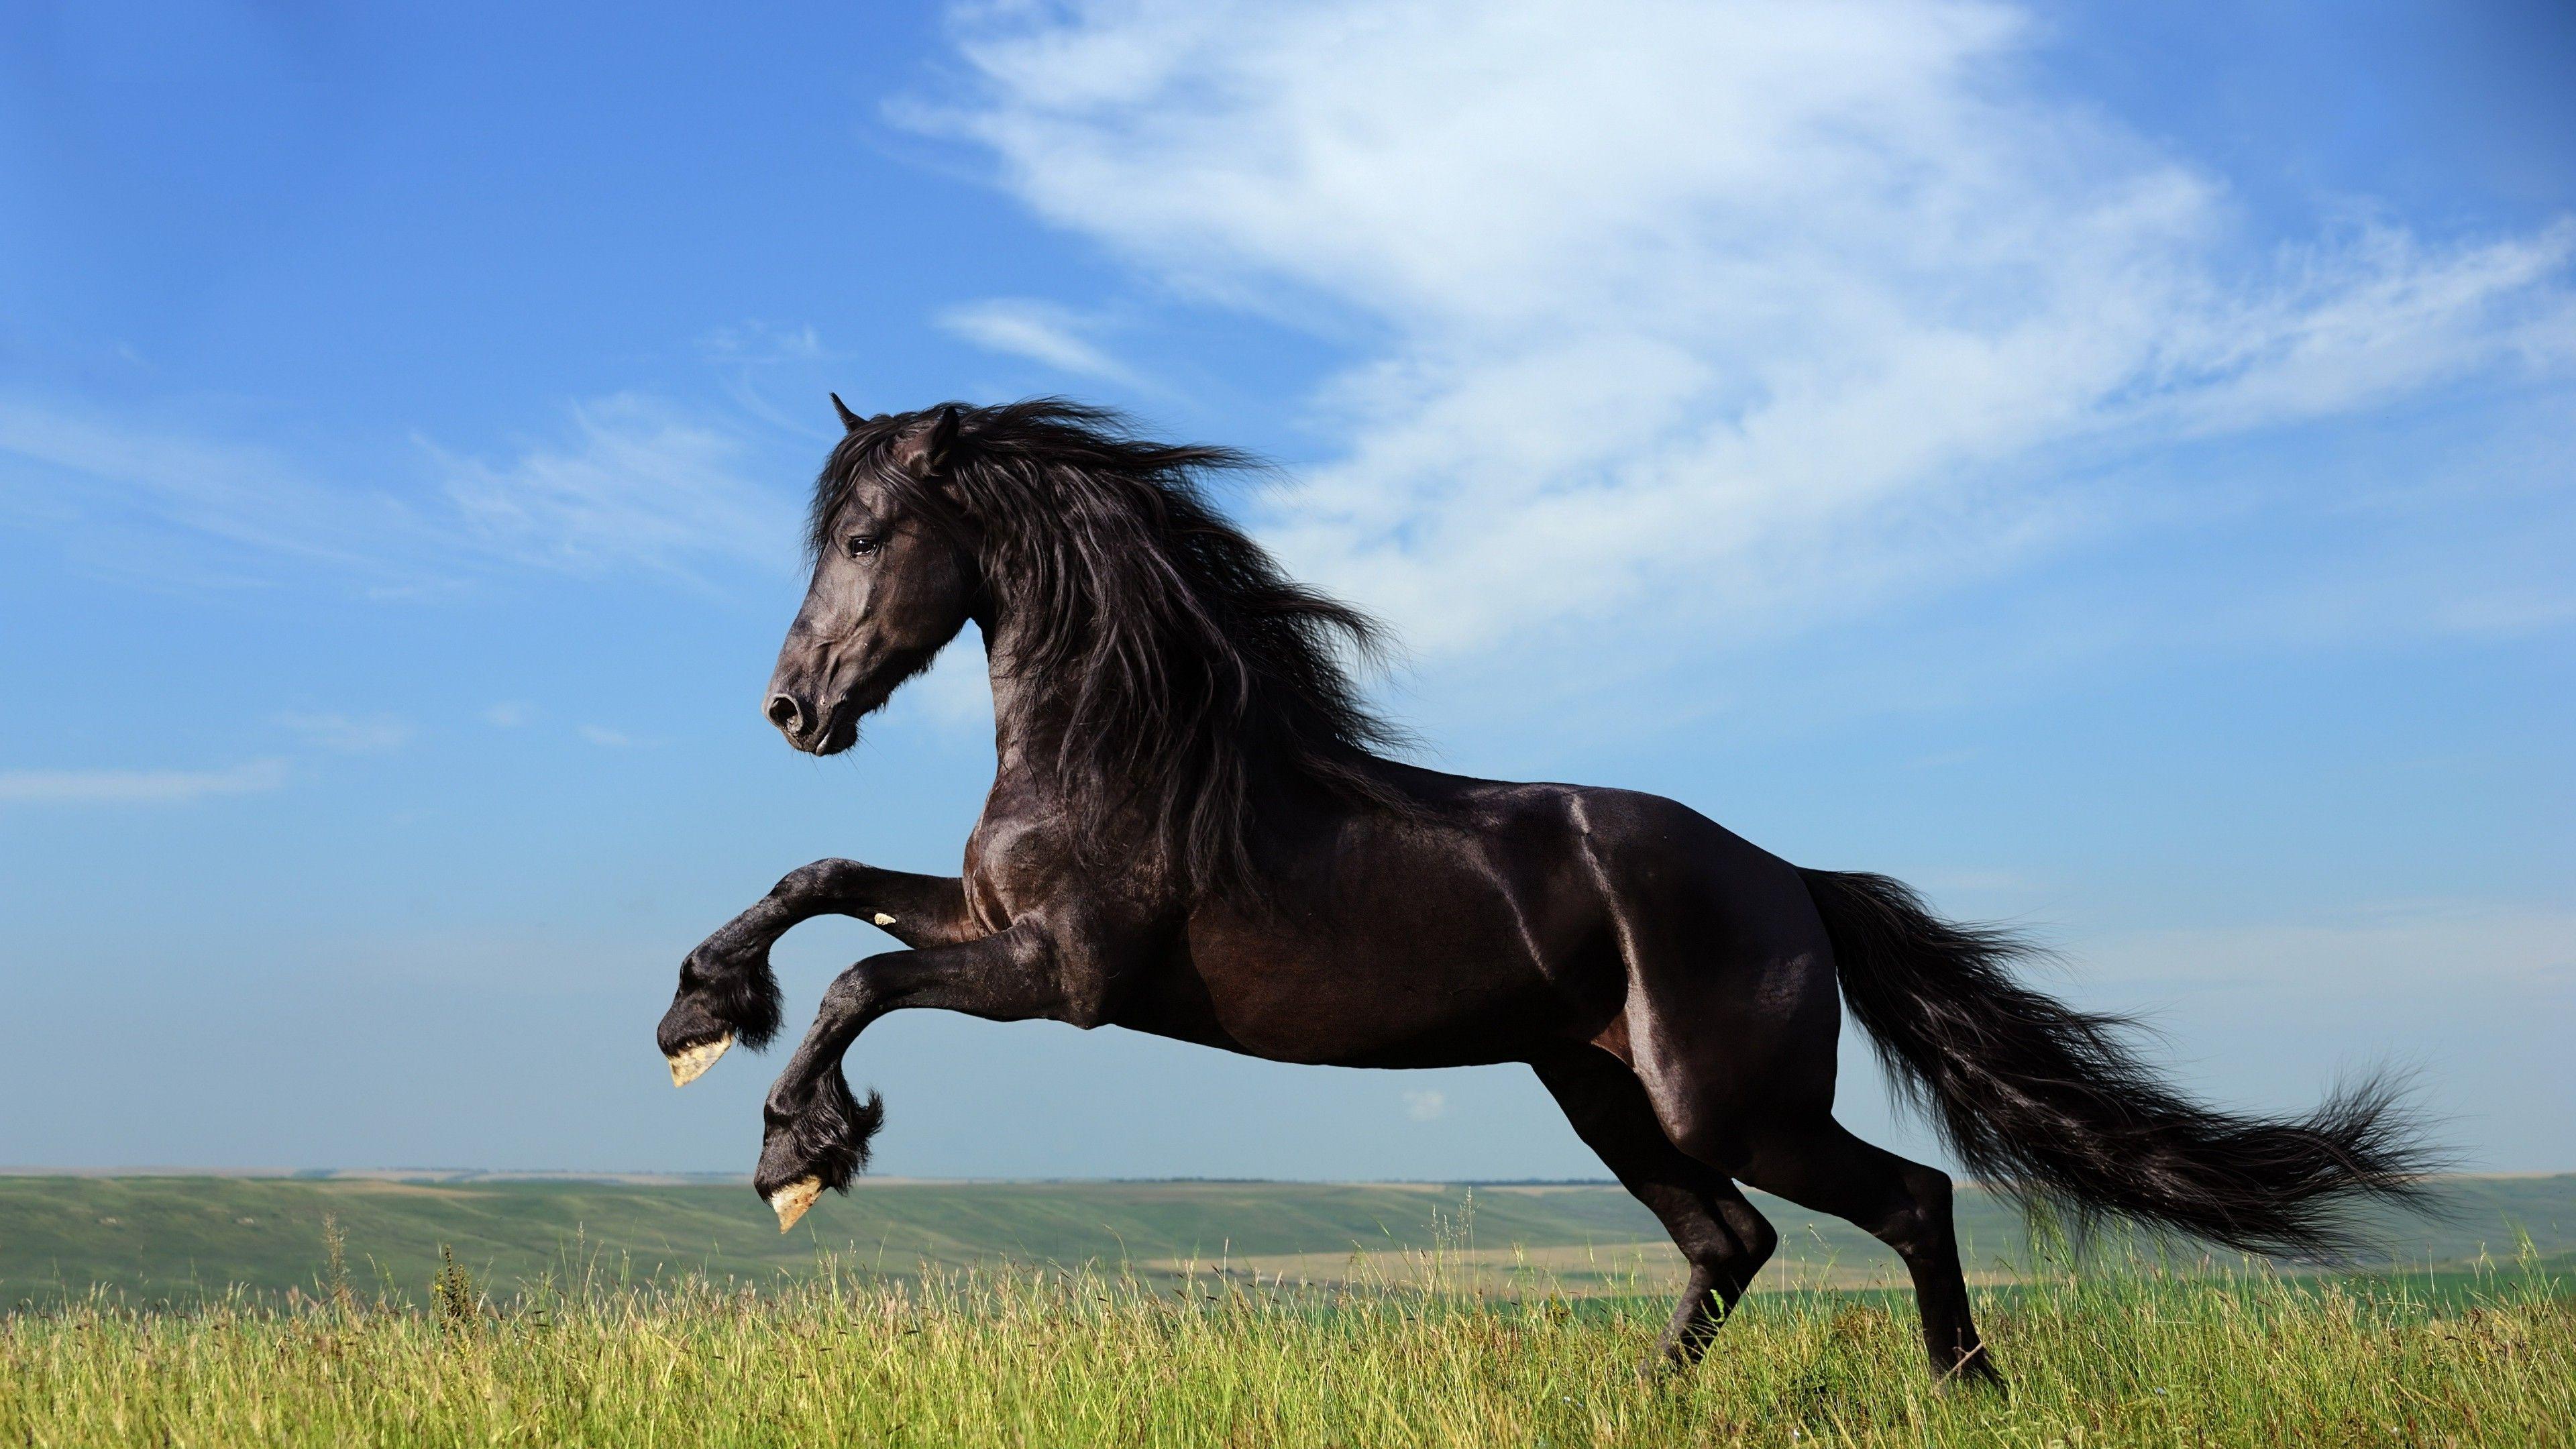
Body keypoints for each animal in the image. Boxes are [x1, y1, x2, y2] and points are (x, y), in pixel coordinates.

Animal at [656, 397, 2429, 1385]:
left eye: (868, 537)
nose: (793, 709)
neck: (1129, 746)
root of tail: (1794, 882)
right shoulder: (986, 920)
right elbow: (822, 882)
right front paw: (697, 1013)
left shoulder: (1062, 975)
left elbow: (859, 979)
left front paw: (797, 1150)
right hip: (1599, 1091)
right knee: (1729, 1242)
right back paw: (1647, 1406)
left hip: (1727, 1098)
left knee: (1902, 1202)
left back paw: (1968, 1389)